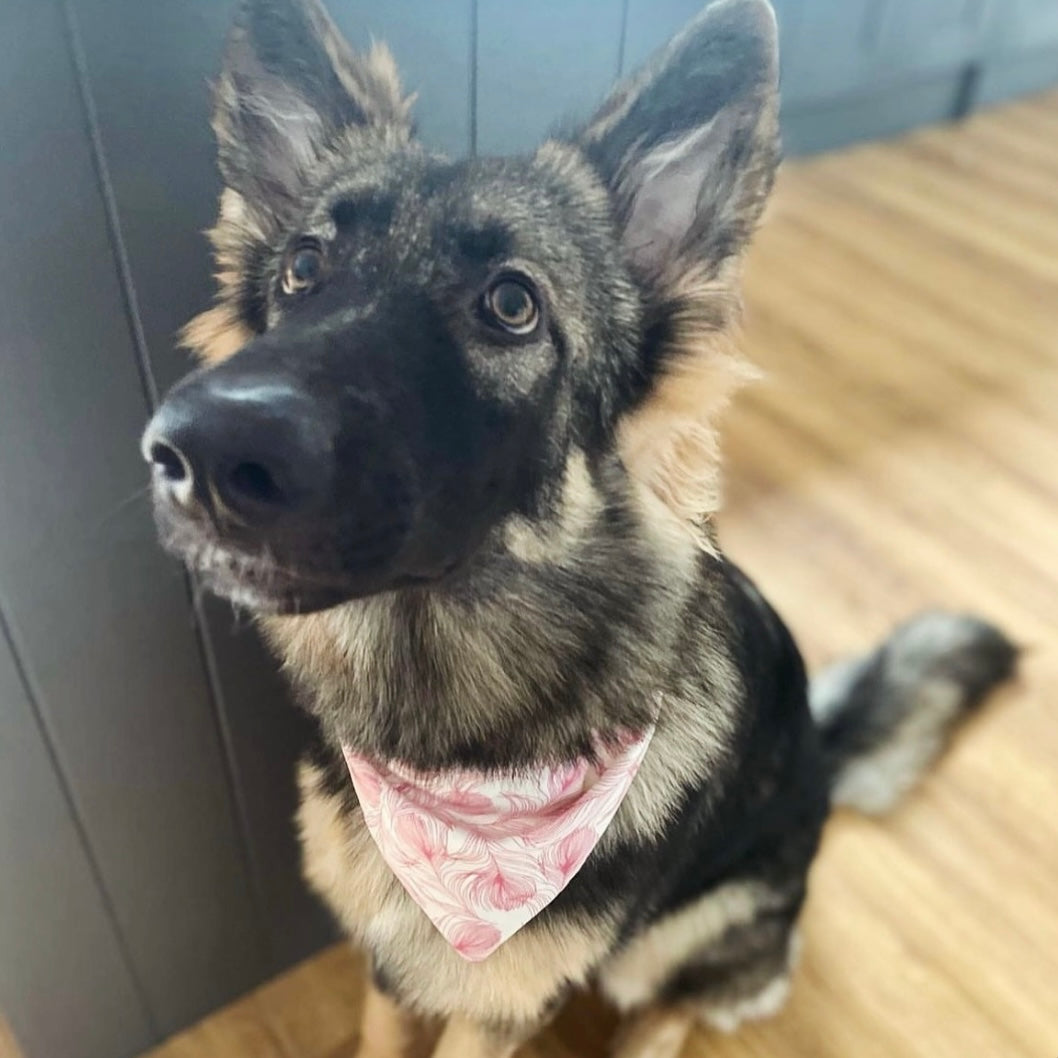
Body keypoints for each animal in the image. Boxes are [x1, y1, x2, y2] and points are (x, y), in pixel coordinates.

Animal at [136, 2, 1011, 1058]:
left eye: (513, 304)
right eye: (305, 269)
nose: (196, 452)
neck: (456, 743)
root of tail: (820, 765)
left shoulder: (498, 1005)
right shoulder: (392, 961)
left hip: (683, 932)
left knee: (676, 1006)